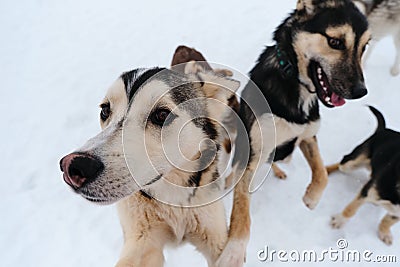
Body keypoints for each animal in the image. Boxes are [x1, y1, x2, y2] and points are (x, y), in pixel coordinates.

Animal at [219, 1, 372, 266]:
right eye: (335, 42)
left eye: (364, 47)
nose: (360, 91)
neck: (295, 84)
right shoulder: (253, 151)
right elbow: (241, 209)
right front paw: (234, 250)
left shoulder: (307, 136)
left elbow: (322, 173)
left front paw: (311, 198)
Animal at [328, 107, 400, 247]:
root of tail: (383, 129)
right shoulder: (366, 193)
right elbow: (351, 209)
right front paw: (339, 220)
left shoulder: (397, 213)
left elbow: (388, 221)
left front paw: (384, 233)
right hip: (352, 163)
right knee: (341, 163)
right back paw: (325, 171)